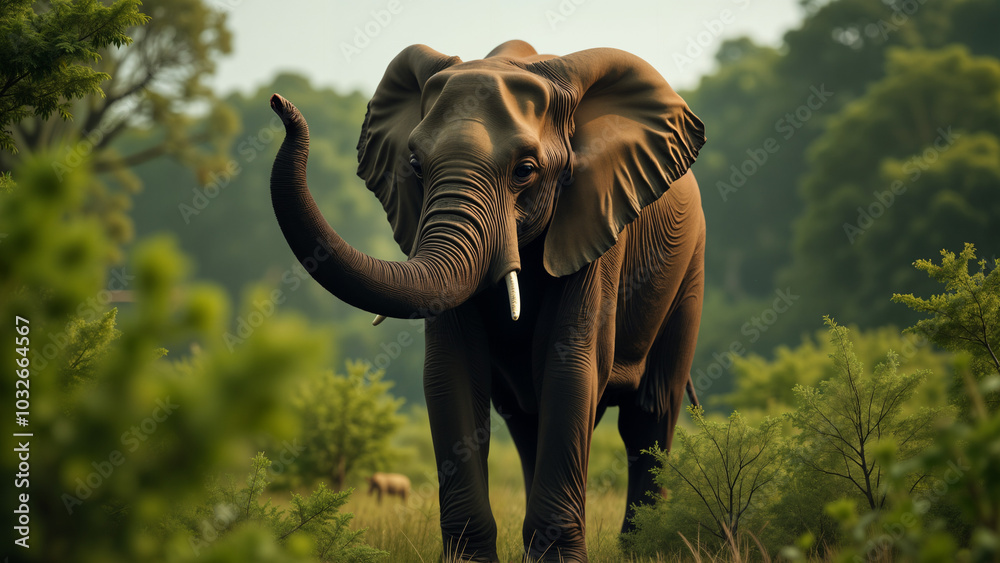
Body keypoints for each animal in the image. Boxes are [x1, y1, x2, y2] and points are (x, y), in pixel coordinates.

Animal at [268, 40, 706, 562]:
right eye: (415, 166)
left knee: (649, 415)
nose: (278, 103)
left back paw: (643, 547)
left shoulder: (598, 223)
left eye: (525, 171)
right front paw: (470, 559)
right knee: (526, 422)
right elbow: (450, 368)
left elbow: (570, 366)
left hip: (689, 269)